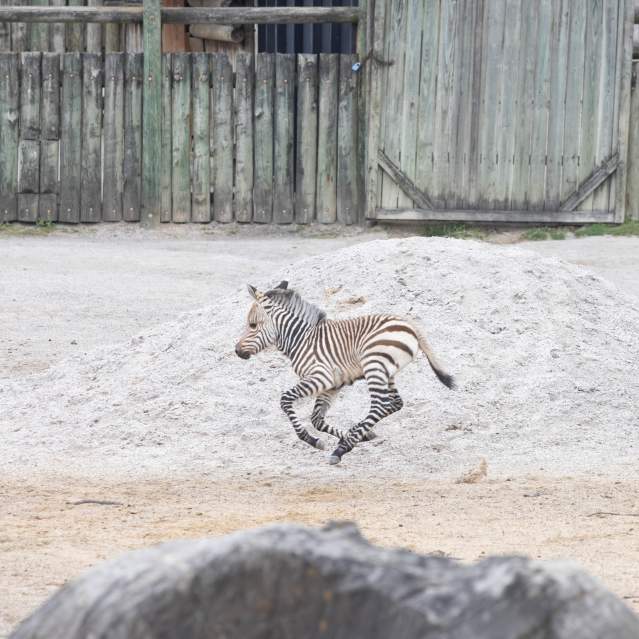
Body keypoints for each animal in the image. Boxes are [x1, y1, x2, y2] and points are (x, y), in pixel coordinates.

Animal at [235, 282, 456, 464]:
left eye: (252, 325)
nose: (237, 351)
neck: (301, 339)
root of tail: (409, 325)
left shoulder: (320, 377)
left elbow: (286, 400)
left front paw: (313, 440)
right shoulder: (332, 384)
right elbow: (316, 419)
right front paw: (357, 436)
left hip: (374, 366)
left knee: (380, 405)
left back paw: (342, 449)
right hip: (387, 372)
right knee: (394, 403)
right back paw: (355, 434)